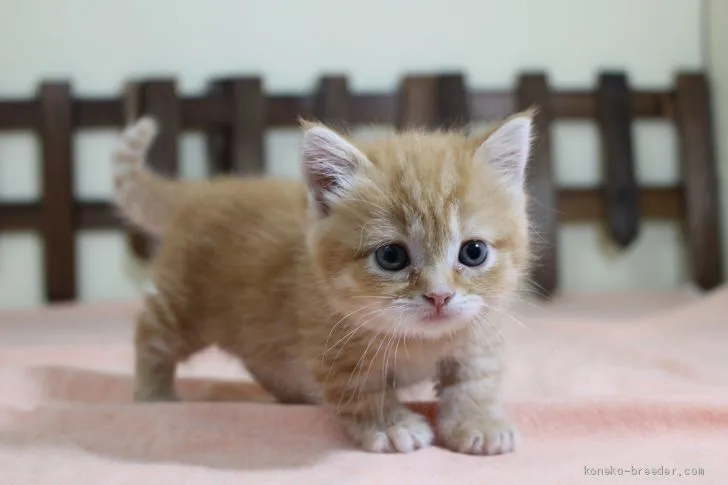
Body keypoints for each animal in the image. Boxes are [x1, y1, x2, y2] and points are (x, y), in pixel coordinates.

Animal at [115, 111, 536, 456]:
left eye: (474, 252)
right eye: (392, 257)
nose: (439, 296)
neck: (419, 342)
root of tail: (200, 190)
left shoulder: (479, 328)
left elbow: (476, 378)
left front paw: (478, 423)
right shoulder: (332, 344)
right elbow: (363, 391)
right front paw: (391, 425)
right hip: (183, 306)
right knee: (151, 333)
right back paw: (154, 395)